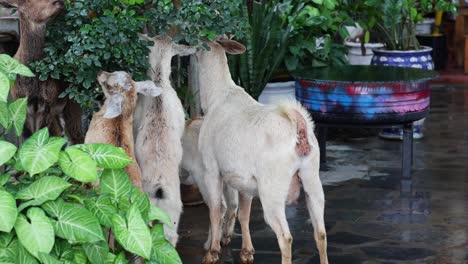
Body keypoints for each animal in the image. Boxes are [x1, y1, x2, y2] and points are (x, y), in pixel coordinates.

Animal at [192, 39, 328, 264]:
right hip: (312, 179)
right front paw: (246, 252)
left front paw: (212, 253)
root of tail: (298, 130)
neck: (219, 95)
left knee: (285, 238)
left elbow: (215, 211)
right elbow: (244, 214)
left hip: (272, 190)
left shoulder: (210, 170)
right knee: (321, 233)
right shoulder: (245, 180)